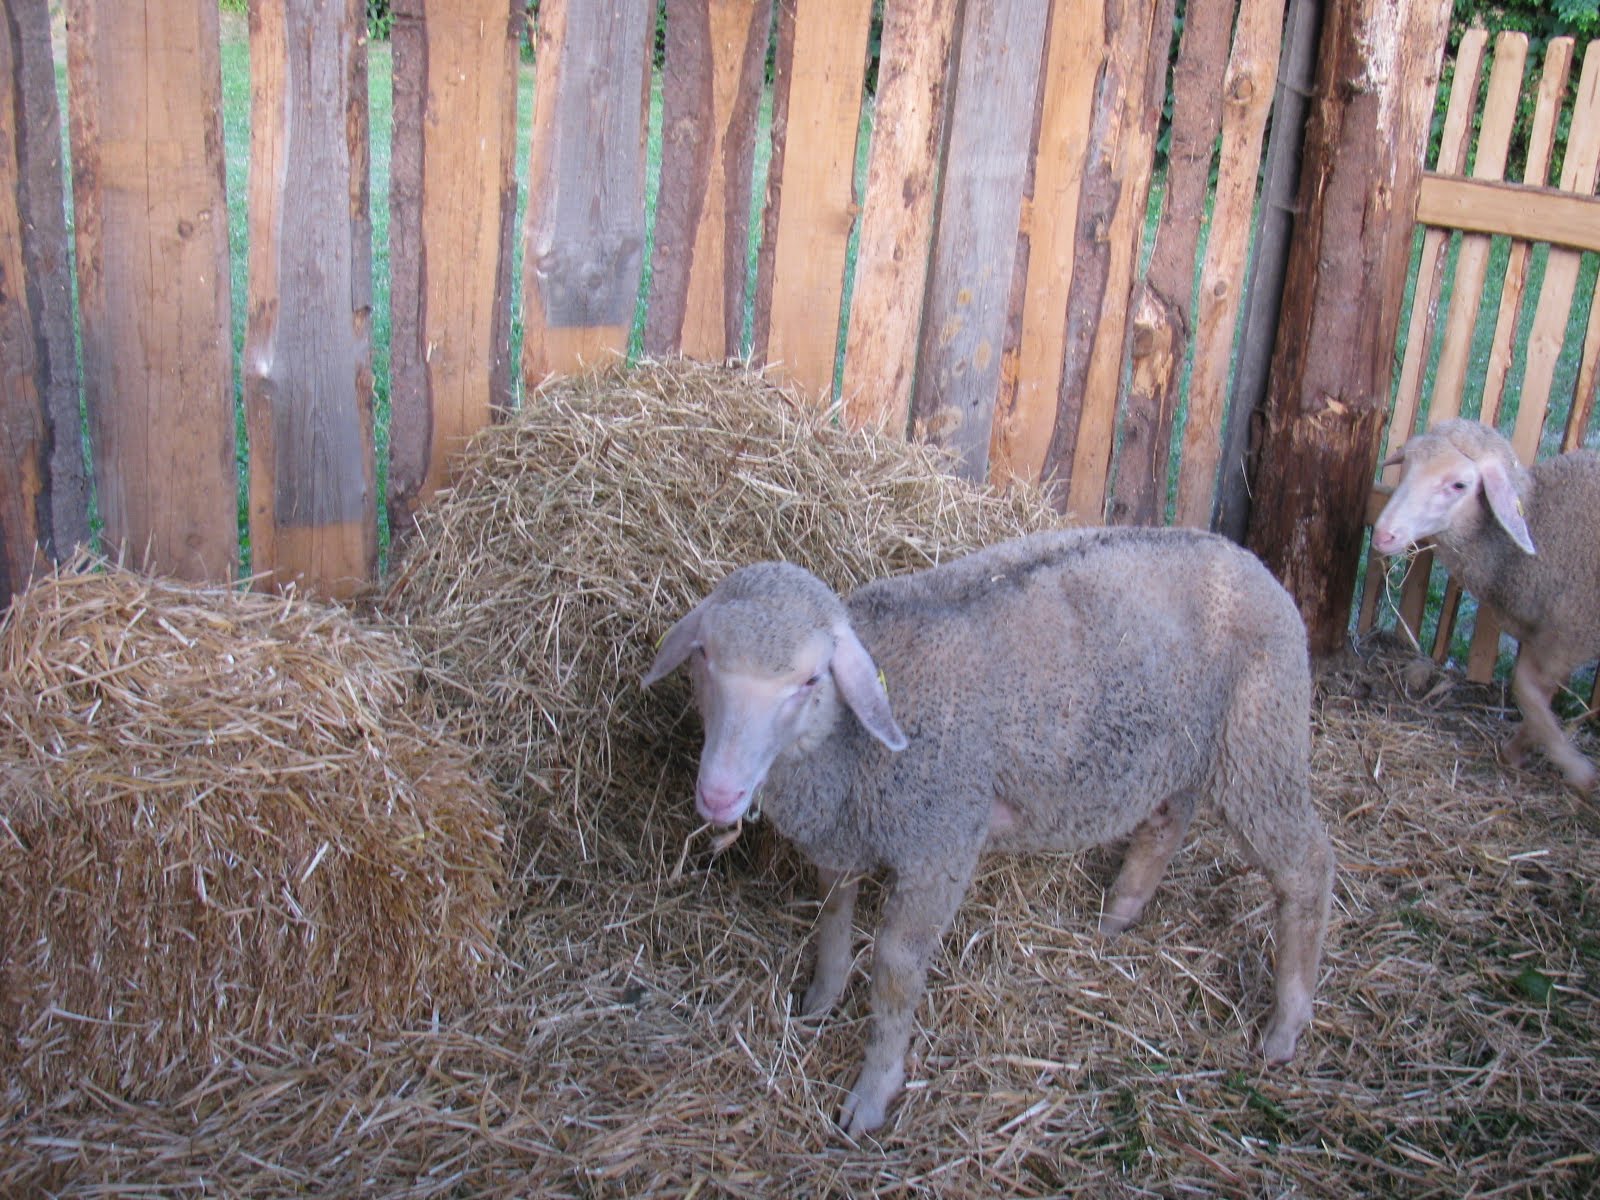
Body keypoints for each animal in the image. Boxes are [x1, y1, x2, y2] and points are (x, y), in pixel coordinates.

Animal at [643, 528, 1331, 1139]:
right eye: (704, 657)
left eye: (810, 681)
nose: (719, 794)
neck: (848, 742)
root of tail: (1243, 557)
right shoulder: (842, 834)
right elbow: (832, 915)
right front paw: (822, 995)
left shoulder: (940, 842)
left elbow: (895, 969)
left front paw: (873, 1092)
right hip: (1180, 750)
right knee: (1167, 820)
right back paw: (1120, 912)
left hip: (1259, 736)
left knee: (1305, 869)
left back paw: (1286, 1025)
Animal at [1363, 422, 1600, 800]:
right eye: (1408, 464)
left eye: (1459, 485)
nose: (1384, 534)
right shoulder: (1545, 636)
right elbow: (1533, 693)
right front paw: (1524, 748)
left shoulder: (1569, 635)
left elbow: (1528, 692)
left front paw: (1574, 768)